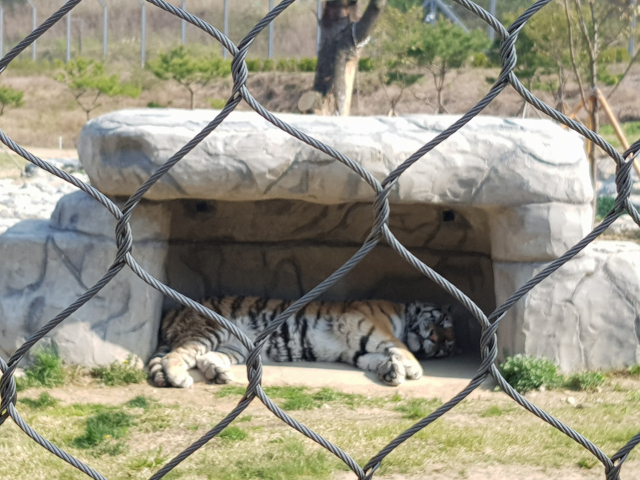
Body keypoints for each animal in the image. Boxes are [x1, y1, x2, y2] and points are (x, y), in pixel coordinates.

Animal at [148, 294, 458, 388]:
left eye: (445, 346)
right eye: (442, 321)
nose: (434, 339)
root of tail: (173, 310)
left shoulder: (354, 351)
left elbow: (377, 357)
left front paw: (391, 370)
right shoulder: (372, 325)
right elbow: (400, 347)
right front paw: (412, 368)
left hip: (234, 346)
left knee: (203, 357)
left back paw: (219, 374)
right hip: (211, 329)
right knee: (176, 355)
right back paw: (178, 378)